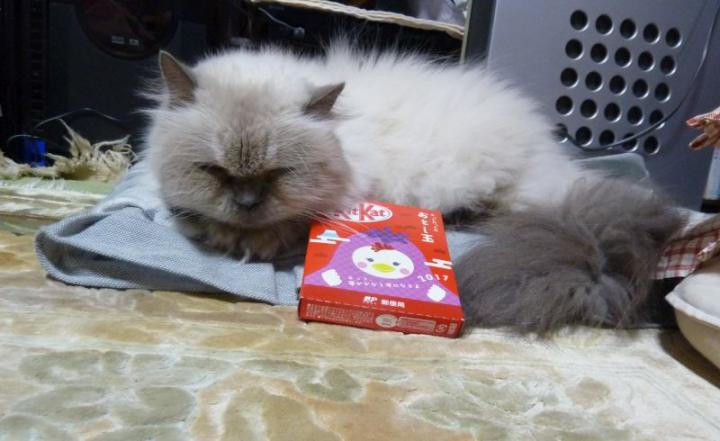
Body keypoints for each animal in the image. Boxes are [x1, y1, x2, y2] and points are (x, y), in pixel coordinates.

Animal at [144, 42, 686, 333]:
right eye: (215, 172)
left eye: (277, 175)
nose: (247, 203)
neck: (350, 136)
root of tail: (556, 158)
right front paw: (224, 231)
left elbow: (283, 226)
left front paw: (244, 240)